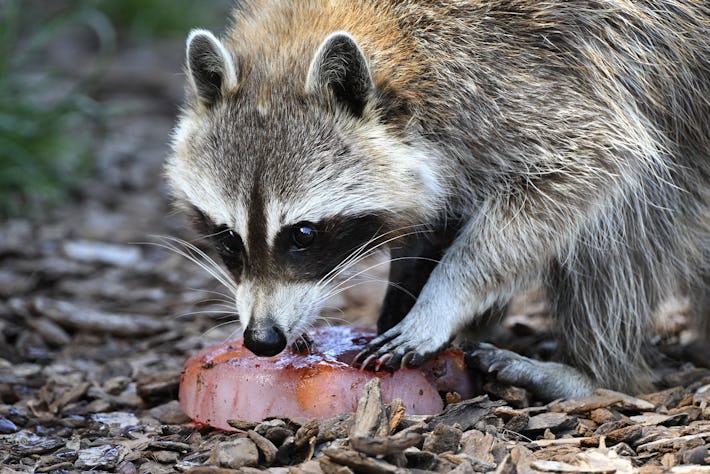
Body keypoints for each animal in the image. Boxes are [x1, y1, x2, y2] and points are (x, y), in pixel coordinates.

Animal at [167, 0, 710, 400]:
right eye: (227, 237)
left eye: (303, 234)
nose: (262, 340)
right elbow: (432, 211)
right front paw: (406, 286)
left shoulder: (520, 78)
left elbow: (587, 166)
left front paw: (442, 298)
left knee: (625, 228)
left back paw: (589, 374)